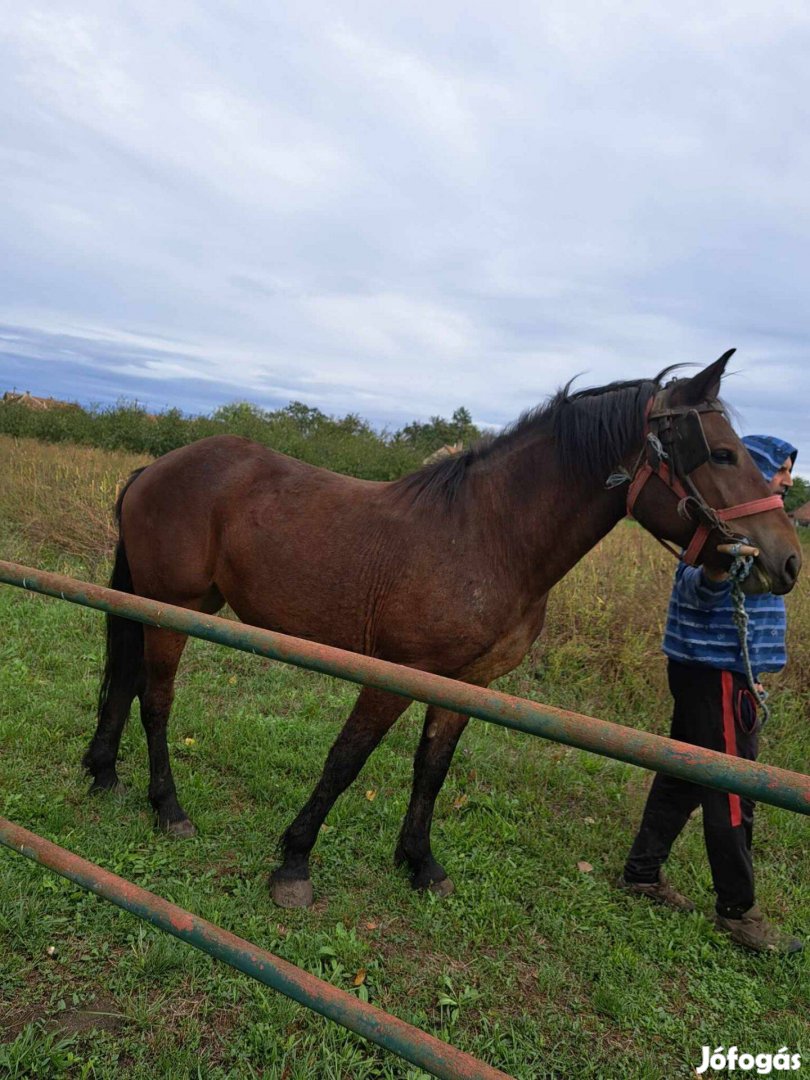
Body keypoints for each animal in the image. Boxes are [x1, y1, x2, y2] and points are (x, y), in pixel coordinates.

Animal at [87, 349, 799, 907]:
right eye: (723, 453)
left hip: (172, 607)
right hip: (171, 611)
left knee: (126, 683)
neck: (489, 537)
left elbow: (432, 769)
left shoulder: (466, 682)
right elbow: (346, 760)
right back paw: (168, 808)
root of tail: (155, 468)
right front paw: (294, 863)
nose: (786, 561)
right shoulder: (396, 674)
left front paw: (421, 864)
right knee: (156, 700)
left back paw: (104, 773)